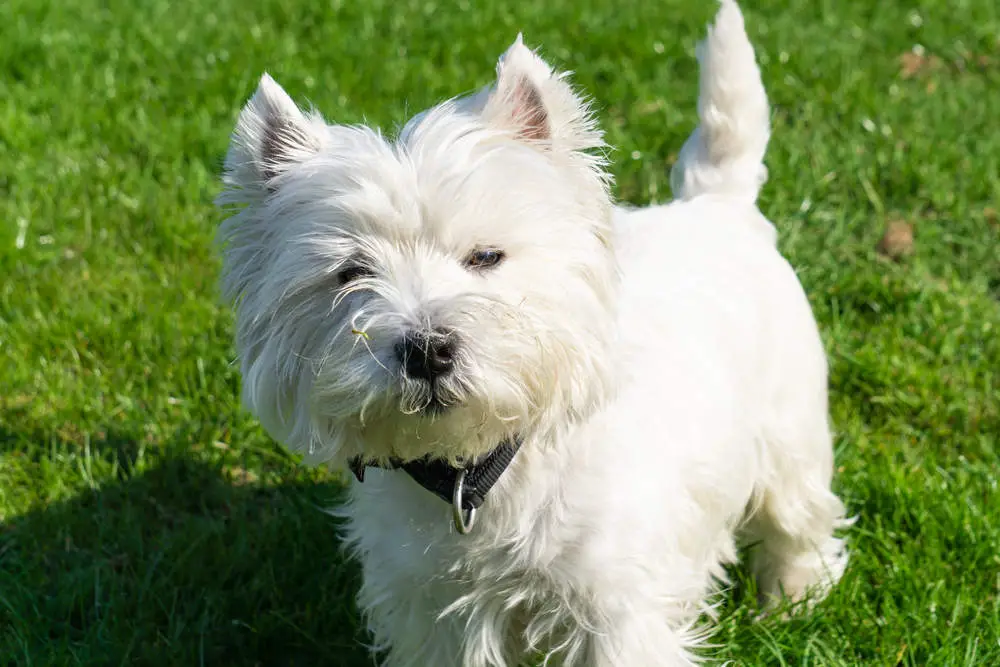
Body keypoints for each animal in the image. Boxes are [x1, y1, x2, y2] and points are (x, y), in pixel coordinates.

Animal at [215, 2, 848, 664]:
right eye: (351, 273)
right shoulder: (434, 612)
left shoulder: (615, 605)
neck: (479, 475)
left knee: (799, 519)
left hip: (790, 433)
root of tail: (720, 206)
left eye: (486, 256)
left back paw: (793, 601)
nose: (428, 350)